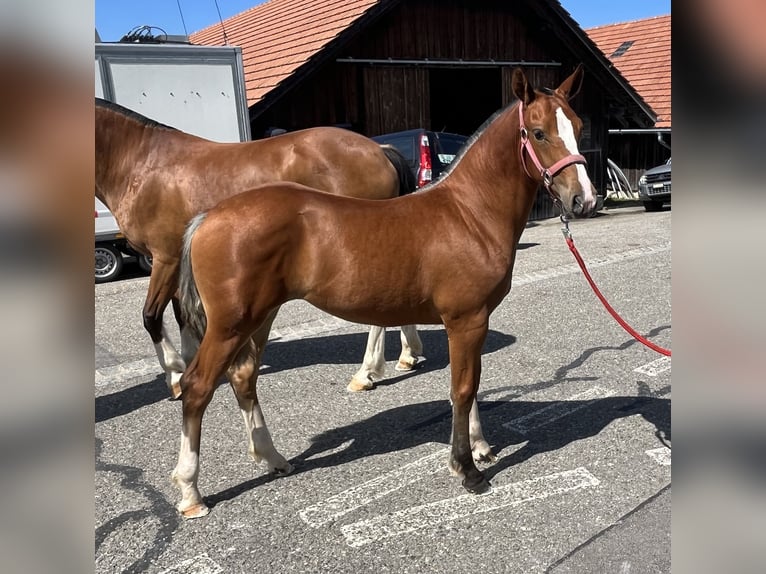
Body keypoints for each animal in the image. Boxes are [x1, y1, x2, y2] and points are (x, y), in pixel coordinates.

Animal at [94, 99, 426, 396]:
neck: (144, 164)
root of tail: (378, 150)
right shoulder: (177, 263)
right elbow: (181, 315)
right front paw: (186, 364)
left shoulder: (165, 258)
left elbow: (151, 316)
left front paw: (175, 375)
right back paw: (407, 354)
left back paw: (365, 373)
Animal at [176, 65, 600, 520]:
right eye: (538, 133)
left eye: (578, 127)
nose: (584, 199)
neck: (470, 213)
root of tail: (207, 217)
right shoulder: (465, 320)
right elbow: (462, 388)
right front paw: (467, 469)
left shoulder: (473, 322)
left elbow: (471, 386)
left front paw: (481, 448)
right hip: (230, 325)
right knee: (197, 387)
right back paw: (191, 492)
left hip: (260, 318)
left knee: (243, 376)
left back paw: (273, 459)